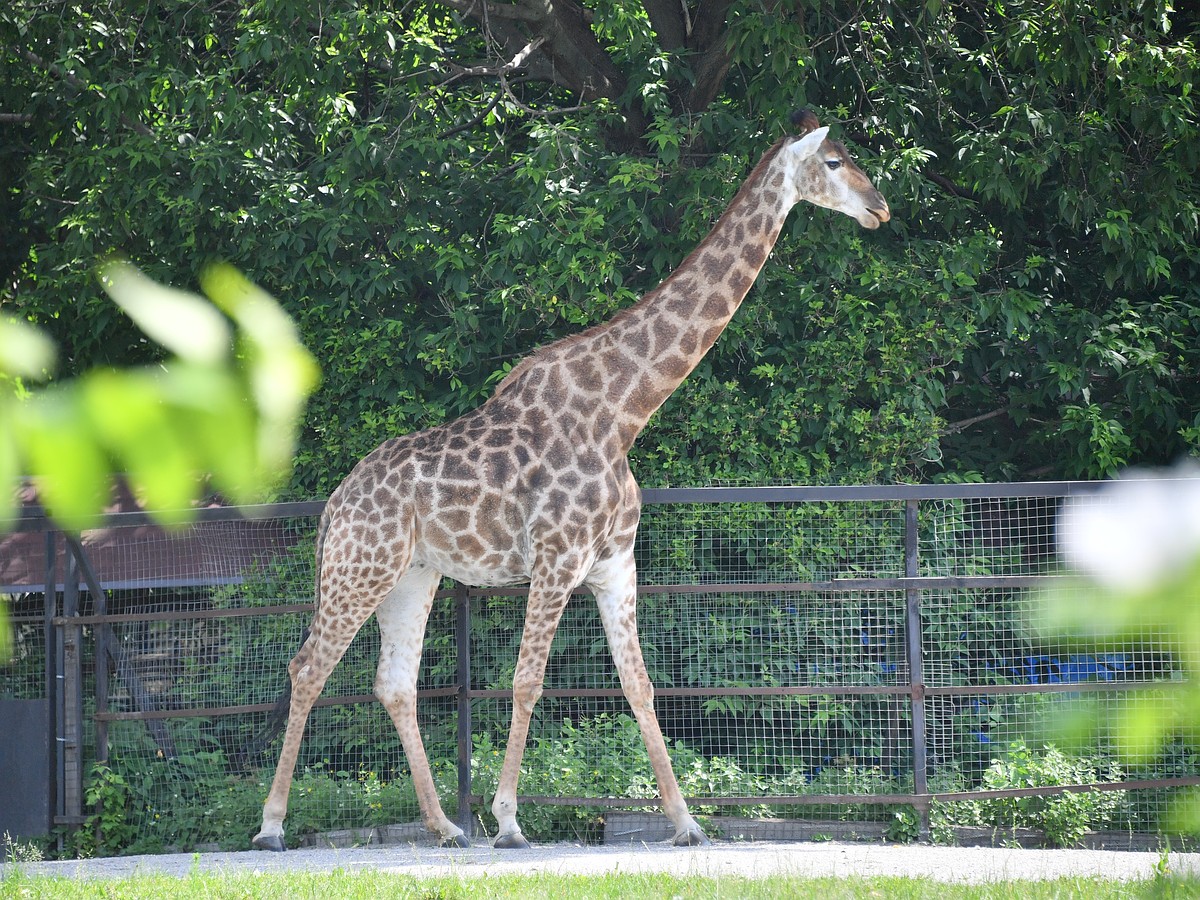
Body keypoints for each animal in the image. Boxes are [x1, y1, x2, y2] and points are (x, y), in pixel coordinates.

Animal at [253, 107, 892, 854]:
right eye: (834, 162)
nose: (880, 207)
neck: (625, 410)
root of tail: (334, 504)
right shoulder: (557, 560)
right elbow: (527, 682)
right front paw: (508, 821)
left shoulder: (615, 564)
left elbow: (640, 686)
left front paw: (686, 823)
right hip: (362, 566)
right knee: (308, 667)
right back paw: (272, 826)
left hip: (412, 575)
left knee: (394, 683)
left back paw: (445, 826)